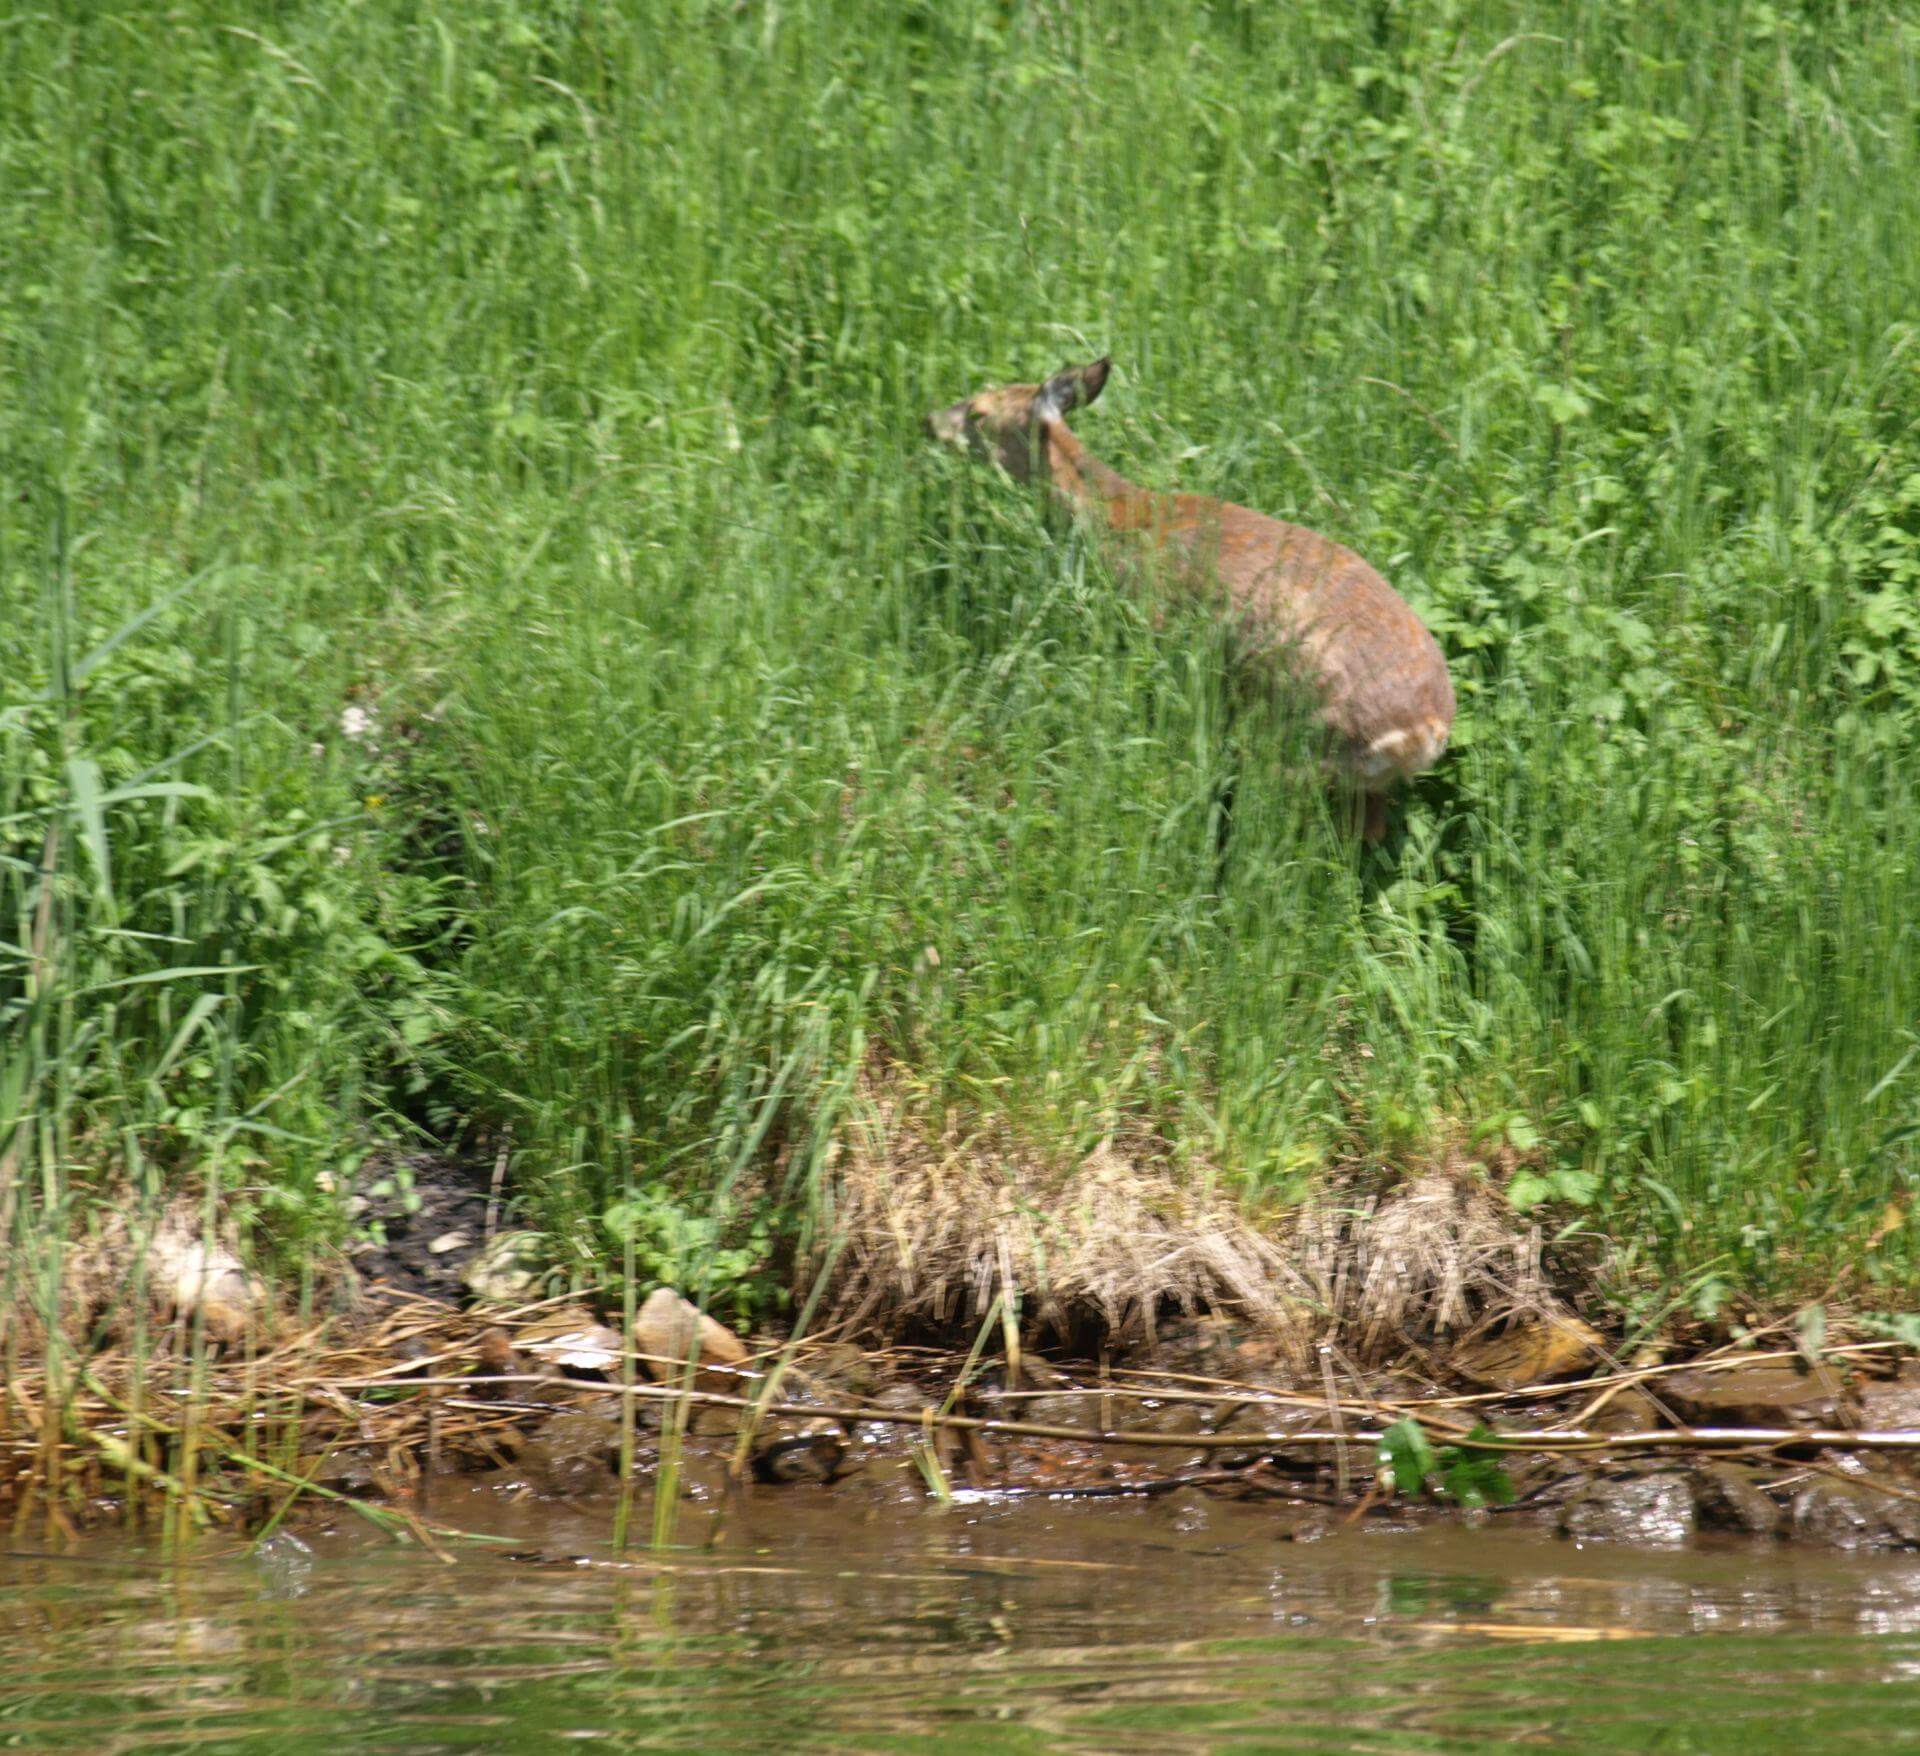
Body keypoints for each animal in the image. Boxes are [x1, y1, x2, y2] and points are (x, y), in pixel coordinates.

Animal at [929, 353, 1451, 840]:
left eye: (978, 412)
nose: (929, 423)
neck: (1113, 515)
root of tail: (1427, 728)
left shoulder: (1151, 615)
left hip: (1301, 724)